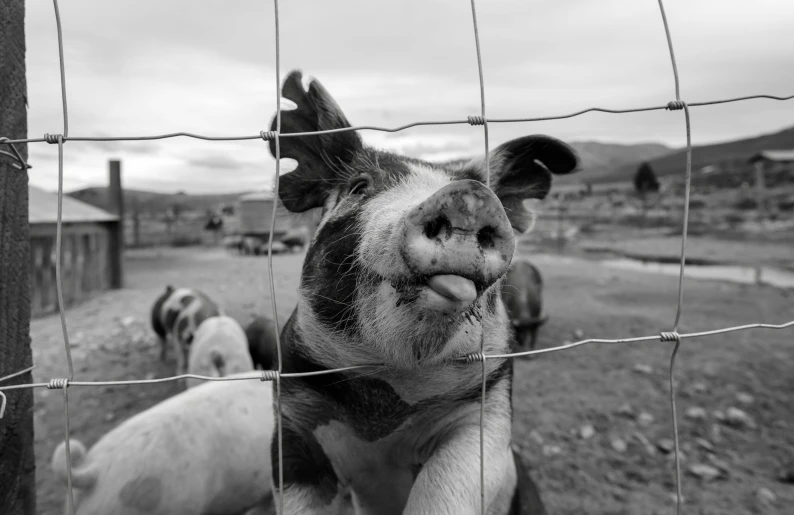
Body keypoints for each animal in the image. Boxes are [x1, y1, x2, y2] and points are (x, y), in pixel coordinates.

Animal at [262, 70, 580, 515]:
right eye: (359, 186)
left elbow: (444, 489)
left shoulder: (488, 412)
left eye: (482, 193)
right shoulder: (291, 426)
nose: (470, 196)